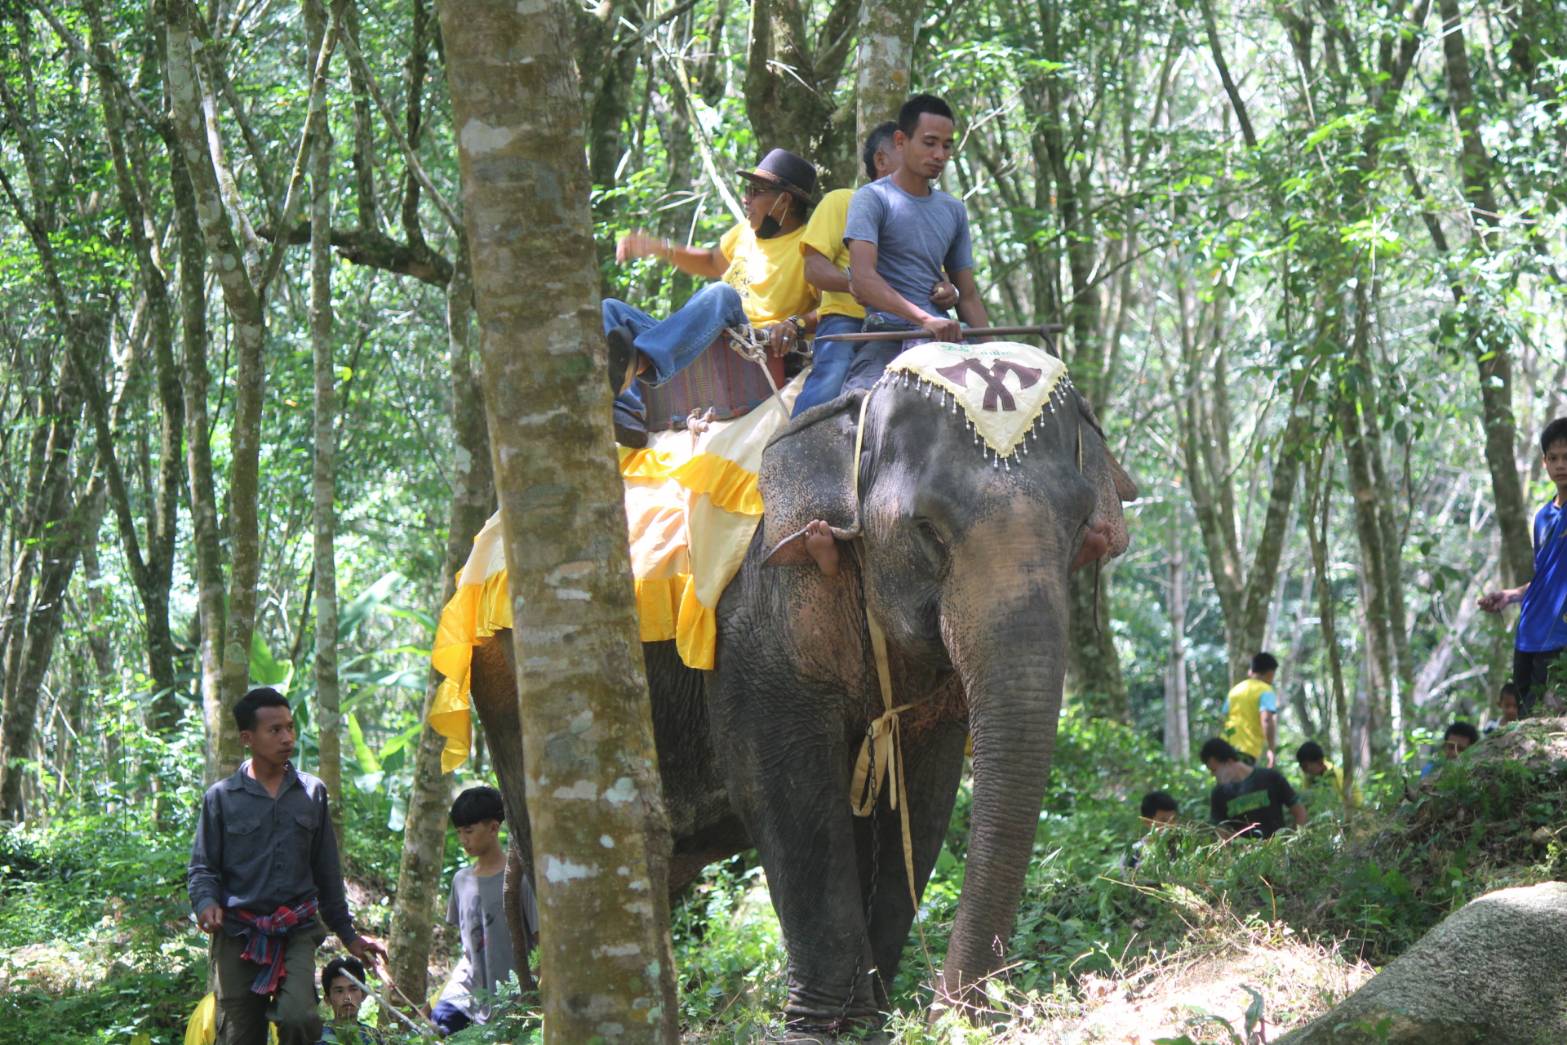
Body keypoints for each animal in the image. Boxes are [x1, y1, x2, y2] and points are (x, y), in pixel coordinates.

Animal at [457, 363, 1134, 1034]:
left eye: (1080, 526)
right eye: (926, 529)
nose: (954, 1011)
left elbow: (920, 792)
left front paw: (868, 1023)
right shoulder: (755, 619)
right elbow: (782, 788)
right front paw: (820, 1029)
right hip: (510, 679)